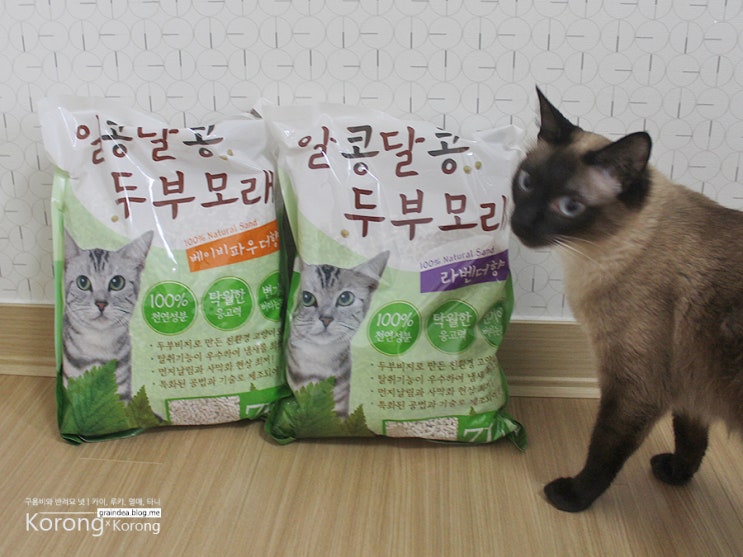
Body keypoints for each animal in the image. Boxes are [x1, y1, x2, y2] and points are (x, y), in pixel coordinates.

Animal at [510, 87, 743, 512]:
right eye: (527, 182)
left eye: (569, 207)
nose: (520, 223)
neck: (594, 253)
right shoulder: (688, 384)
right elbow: (691, 436)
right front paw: (677, 475)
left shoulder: (636, 385)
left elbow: (604, 450)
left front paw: (572, 498)